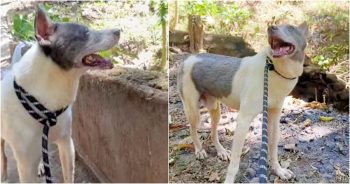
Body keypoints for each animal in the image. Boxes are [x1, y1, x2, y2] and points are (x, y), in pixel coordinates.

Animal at [0, 6, 119, 183]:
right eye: (86, 32)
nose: (119, 30)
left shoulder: (66, 143)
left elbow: (68, 175)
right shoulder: (26, 165)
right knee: (3, 155)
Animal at [178, 21, 308, 183]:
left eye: (291, 28)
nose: (271, 27)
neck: (274, 69)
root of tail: (188, 58)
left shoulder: (274, 117)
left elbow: (273, 149)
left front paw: (279, 171)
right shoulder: (243, 120)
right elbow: (235, 163)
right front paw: (229, 181)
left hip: (215, 109)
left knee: (213, 132)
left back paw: (221, 151)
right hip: (193, 110)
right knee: (192, 129)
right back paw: (199, 150)